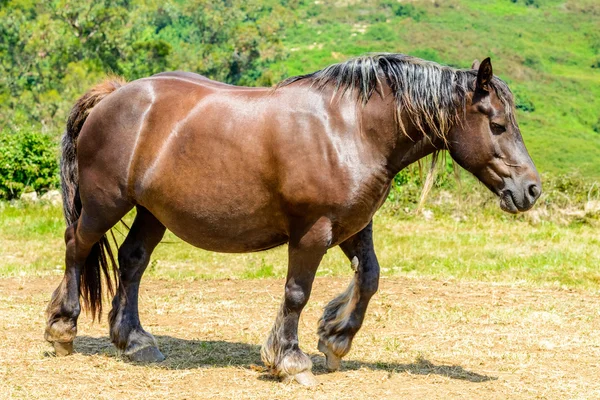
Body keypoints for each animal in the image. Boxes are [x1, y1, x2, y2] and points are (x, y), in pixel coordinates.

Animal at [44, 54, 540, 386]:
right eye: (497, 124)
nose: (531, 189)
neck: (351, 129)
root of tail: (114, 94)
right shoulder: (312, 231)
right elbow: (297, 293)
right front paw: (289, 359)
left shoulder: (354, 226)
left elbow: (369, 278)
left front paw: (335, 337)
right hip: (106, 204)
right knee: (76, 246)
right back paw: (63, 329)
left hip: (151, 212)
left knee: (132, 262)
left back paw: (136, 341)